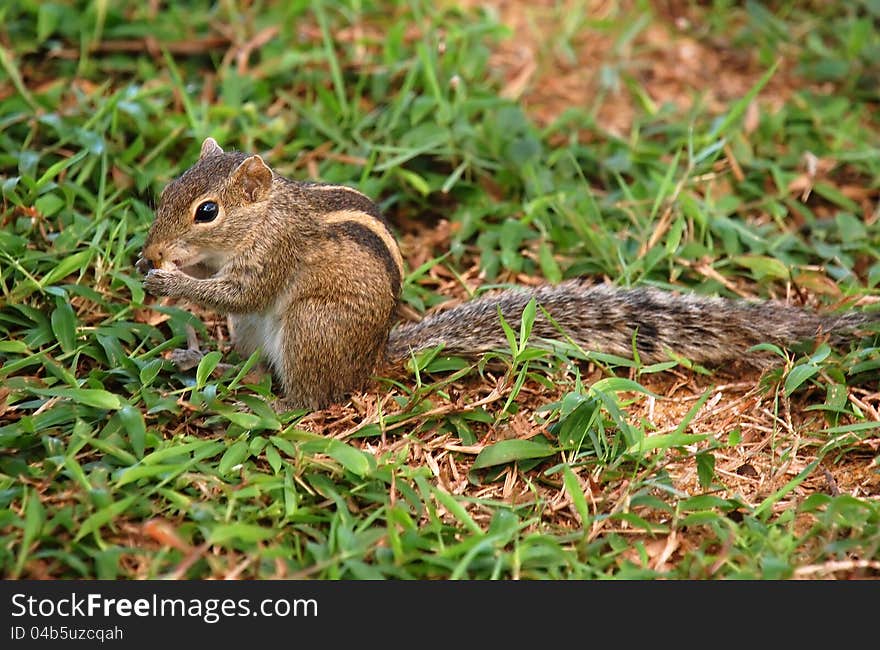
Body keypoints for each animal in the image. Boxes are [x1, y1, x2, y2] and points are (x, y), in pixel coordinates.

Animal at [136, 139, 880, 408]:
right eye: (166, 188)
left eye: (206, 210)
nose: (150, 250)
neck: (264, 217)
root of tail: (371, 358)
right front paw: (155, 271)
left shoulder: (275, 257)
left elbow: (242, 287)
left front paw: (172, 281)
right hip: (253, 333)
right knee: (245, 358)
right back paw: (197, 361)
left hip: (309, 328)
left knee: (313, 400)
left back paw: (267, 405)